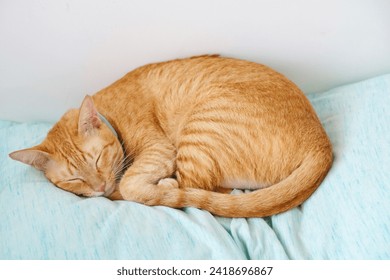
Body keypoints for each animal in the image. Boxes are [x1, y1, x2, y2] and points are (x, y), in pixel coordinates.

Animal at [9, 55, 332, 219]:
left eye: (98, 159)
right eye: (75, 179)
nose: (99, 187)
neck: (110, 112)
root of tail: (322, 143)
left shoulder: (159, 150)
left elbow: (128, 185)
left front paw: (136, 187)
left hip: (200, 130)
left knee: (196, 189)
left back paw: (165, 185)